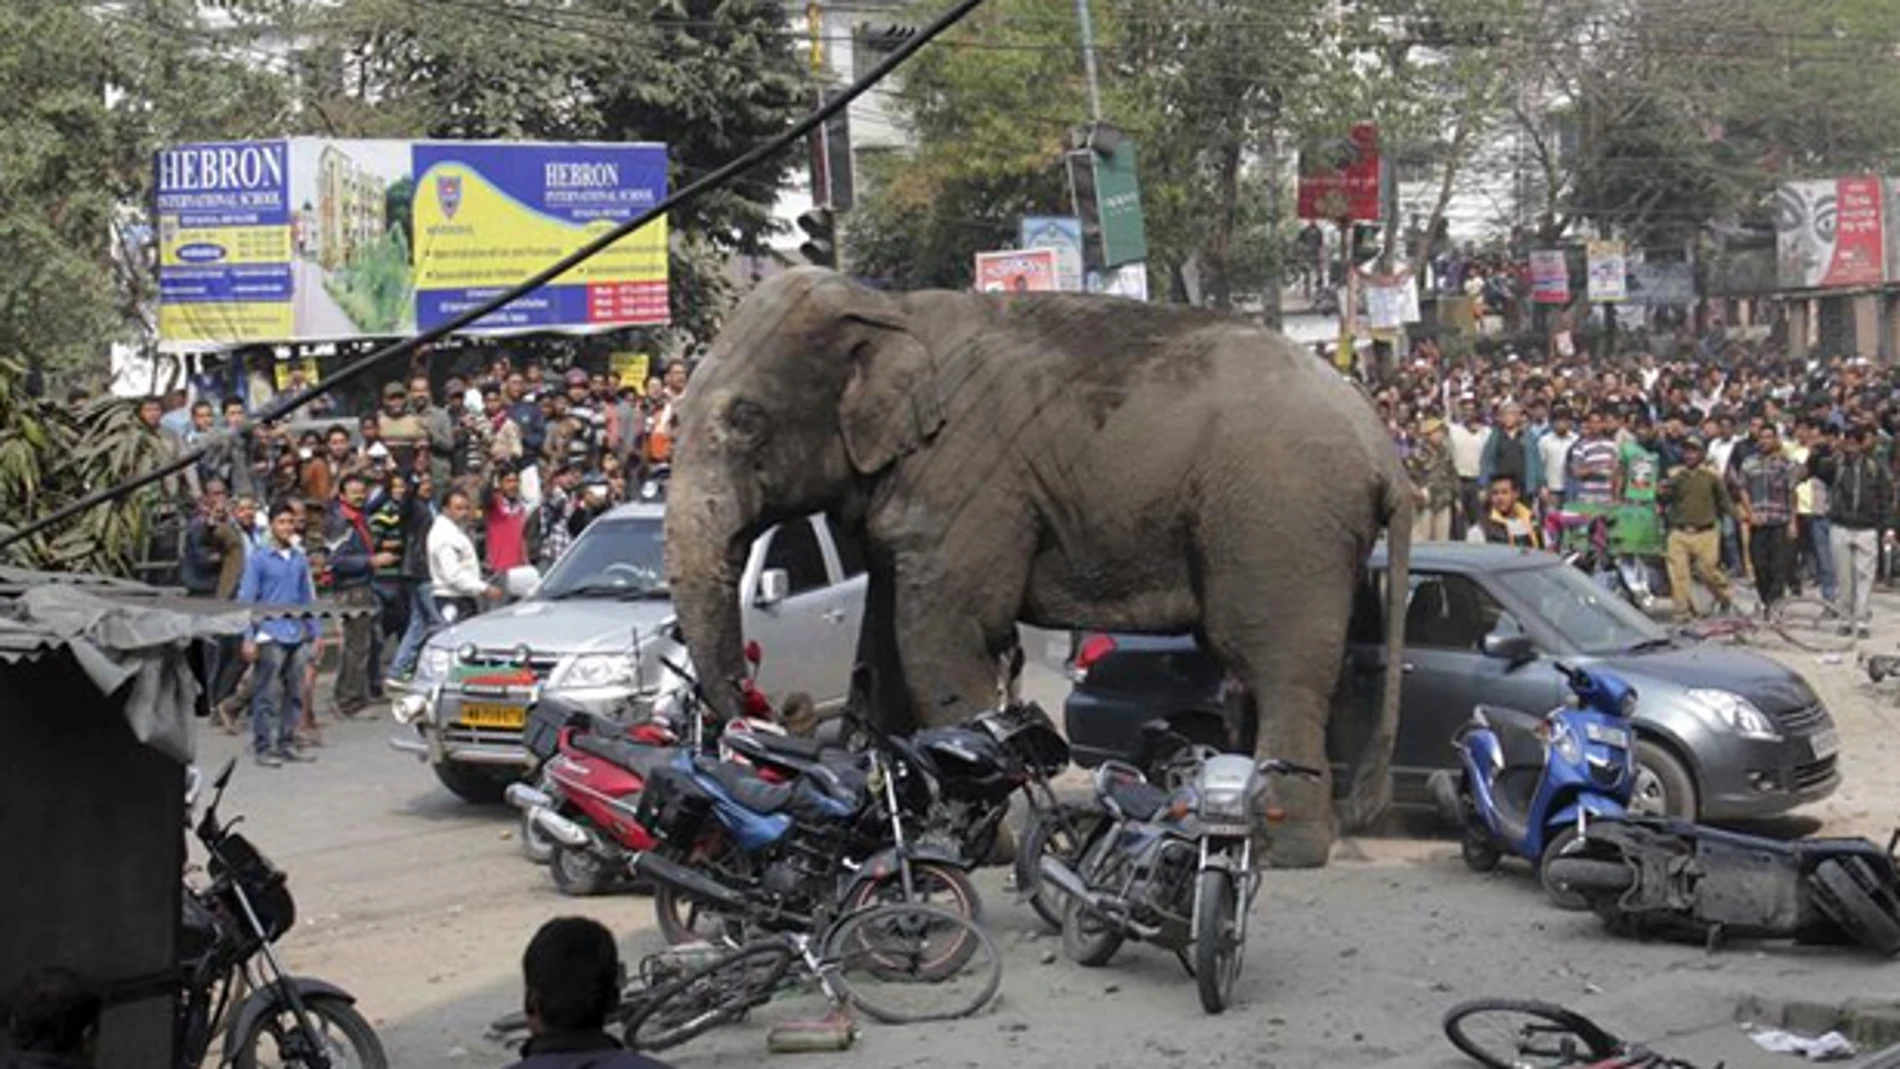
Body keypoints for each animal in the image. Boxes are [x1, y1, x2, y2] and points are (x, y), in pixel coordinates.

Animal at [664, 268, 1412, 867]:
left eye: (747, 420)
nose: (767, 709)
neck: (888, 309)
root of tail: (1383, 450)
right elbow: (883, 642)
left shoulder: (969, 480)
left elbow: (946, 634)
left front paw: (973, 845)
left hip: (1282, 520)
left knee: (1276, 664)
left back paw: (1283, 847)